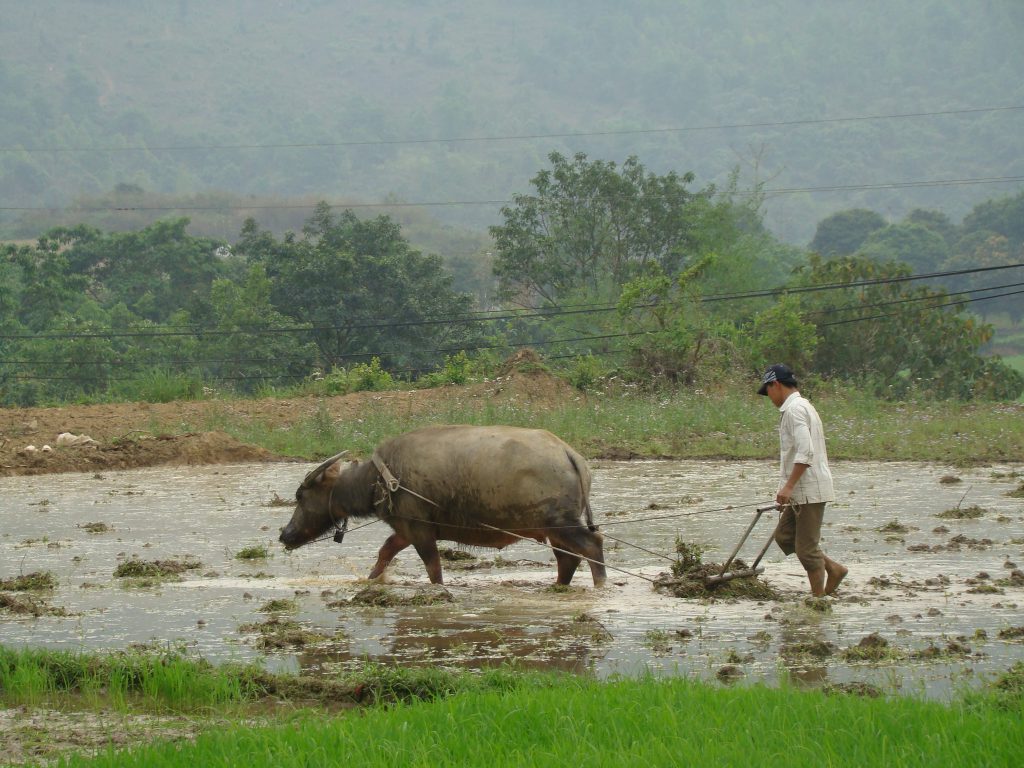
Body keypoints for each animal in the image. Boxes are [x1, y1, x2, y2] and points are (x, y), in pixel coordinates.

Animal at [276, 428, 602, 589]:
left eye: (300, 495)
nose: (284, 534)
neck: (384, 478)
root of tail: (570, 454)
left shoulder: (420, 530)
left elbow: (432, 566)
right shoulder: (405, 528)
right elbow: (385, 552)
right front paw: (370, 580)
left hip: (561, 523)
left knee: (592, 545)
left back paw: (600, 585)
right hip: (553, 529)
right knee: (568, 558)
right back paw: (558, 586)